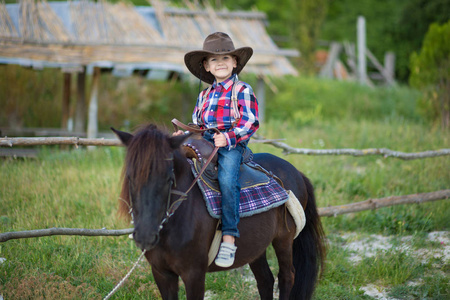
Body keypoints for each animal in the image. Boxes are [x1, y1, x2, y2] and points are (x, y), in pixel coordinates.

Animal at [111, 123, 326, 298]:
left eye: (168, 178)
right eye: (130, 177)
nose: (145, 236)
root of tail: (296, 172)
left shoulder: (194, 274)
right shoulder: (161, 273)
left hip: (284, 240)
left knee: (287, 277)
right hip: (257, 246)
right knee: (265, 280)